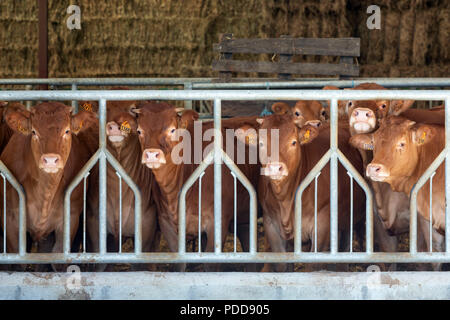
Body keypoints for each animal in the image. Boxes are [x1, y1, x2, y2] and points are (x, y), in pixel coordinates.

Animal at [0, 103, 96, 270]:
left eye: (67, 131)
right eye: (33, 132)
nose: (50, 160)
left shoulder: (70, 219)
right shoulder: (10, 219)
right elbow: (18, 263)